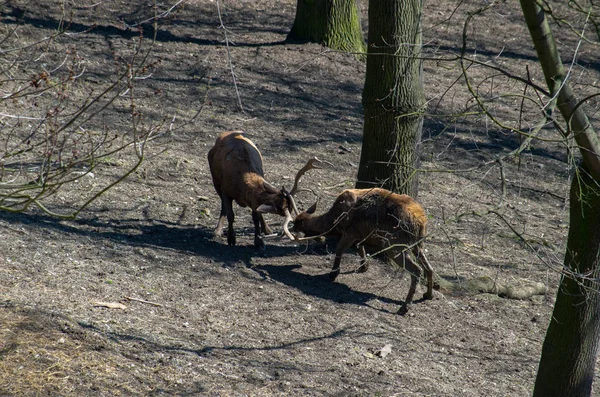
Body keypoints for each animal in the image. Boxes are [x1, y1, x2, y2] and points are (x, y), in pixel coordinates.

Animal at [292, 187, 434, 314]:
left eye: (298, 224)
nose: (291, 229)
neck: (333, 222)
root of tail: (421, 221)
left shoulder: (349, 232)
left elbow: (339, 250)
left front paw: (333, 274)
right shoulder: (360, 234)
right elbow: (360, 248)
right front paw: (363, 267)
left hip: (394, 245)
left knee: (417, 270)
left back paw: (404, 308)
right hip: (417, 244)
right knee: (429, 268)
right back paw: (428, 295)